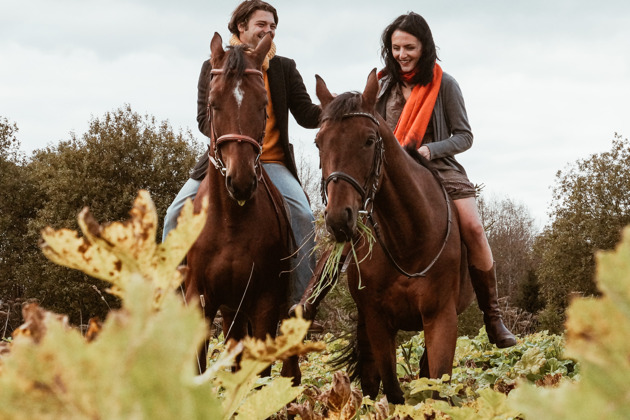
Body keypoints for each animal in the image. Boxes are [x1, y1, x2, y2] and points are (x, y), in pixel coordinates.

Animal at [185, 31, 302, 382]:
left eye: (263, 104)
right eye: (212, 103)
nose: (240, 181)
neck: (230, 222)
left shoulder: (264, 303)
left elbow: (260, 376)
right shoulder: (200, 301)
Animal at [314, 70, 476, 406]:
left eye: (369, 140)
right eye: (319, 142)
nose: (338, 219)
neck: (409, 241)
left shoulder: (441, 318)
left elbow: (438, 389)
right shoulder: (377, 321)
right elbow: (391, 389)